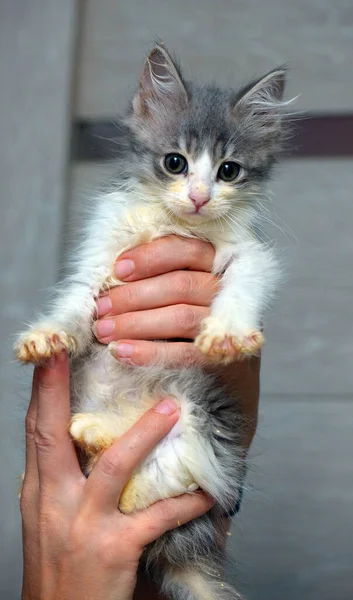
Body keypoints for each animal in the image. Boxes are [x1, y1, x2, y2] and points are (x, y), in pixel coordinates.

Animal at [14, 44, 288, 596]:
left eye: (229, 171)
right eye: (174, 163)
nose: (200, 196)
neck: (174, 224)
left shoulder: (251, 254)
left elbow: (245, 282)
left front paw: (226, 335)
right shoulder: (101, 257)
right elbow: (76, 303)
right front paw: (47, 334)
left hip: (200, 421)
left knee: (169, 481)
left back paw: (104, 445)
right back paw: (92, 434)